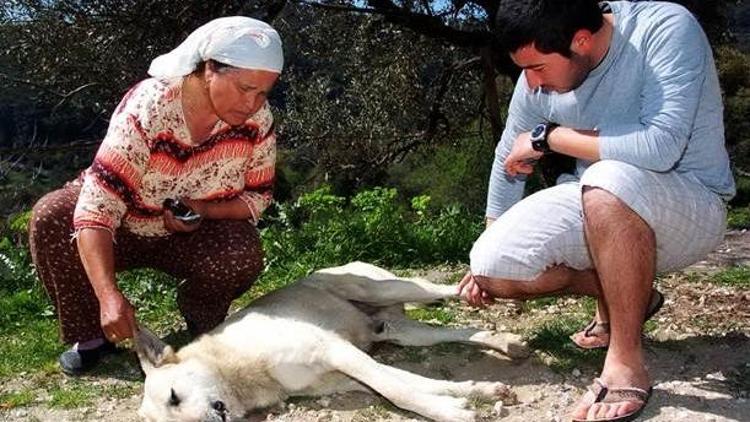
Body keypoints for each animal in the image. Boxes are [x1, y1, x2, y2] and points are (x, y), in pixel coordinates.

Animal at [138, 262, 532, 420]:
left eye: (174, 396)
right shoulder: (348, 373)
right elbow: (412, 384)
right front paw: (476, 393)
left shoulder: (337, 352)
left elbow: (400, 391)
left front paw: (452, 413)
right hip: (402, 334)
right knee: (451, 333)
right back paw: (504, 341)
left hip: (386, 288)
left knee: (450, 290)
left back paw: (498, 295)